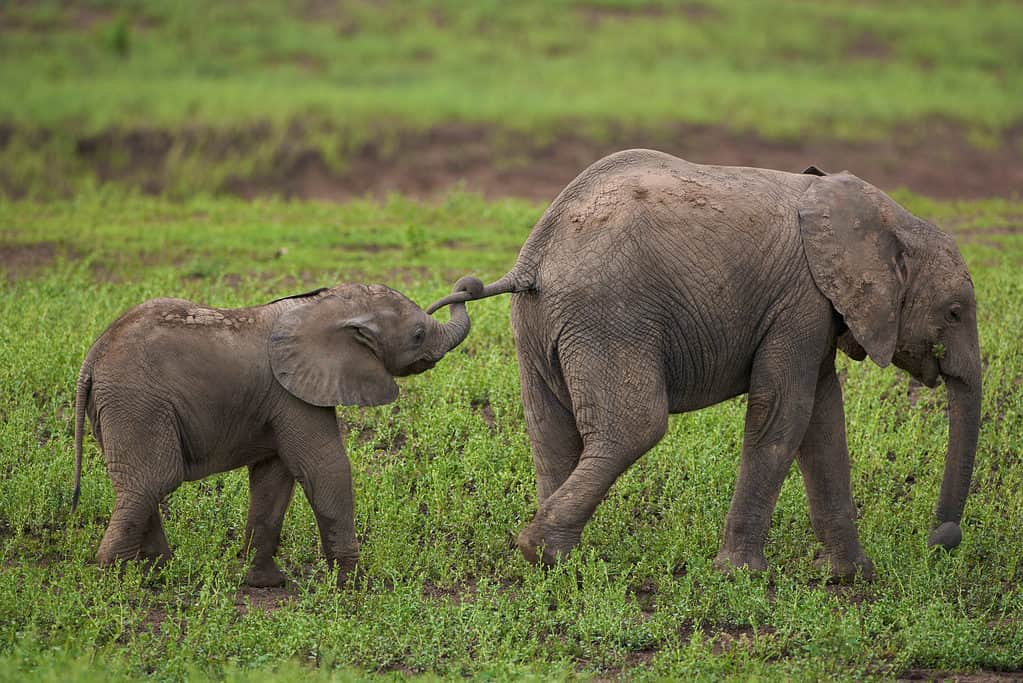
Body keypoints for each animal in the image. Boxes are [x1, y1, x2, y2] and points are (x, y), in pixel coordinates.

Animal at [74, 282, 476, 588]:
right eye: (418, 335)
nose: (468, 286)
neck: (324, 305)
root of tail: (93, 357)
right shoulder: (292, 394)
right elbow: (325, 468)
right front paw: (357, 584)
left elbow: (275, 478)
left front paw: (267, 583)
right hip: (137, 402)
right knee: (154, 479)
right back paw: (118, 579)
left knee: (144, 485)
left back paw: (160, 572)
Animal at [427, 150, 977, 580]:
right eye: (955, 312)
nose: (942, 540)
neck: (882, 216)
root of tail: (534, 259)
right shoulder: (800, 302)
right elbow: (785, 415)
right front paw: (741, 576)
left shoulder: (816, 311)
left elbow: (822, 422)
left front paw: (848, 576)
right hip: (609, 317)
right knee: (635, 427)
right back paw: (540, 551)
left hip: (540, 327)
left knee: (550, 432)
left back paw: (559, 557)